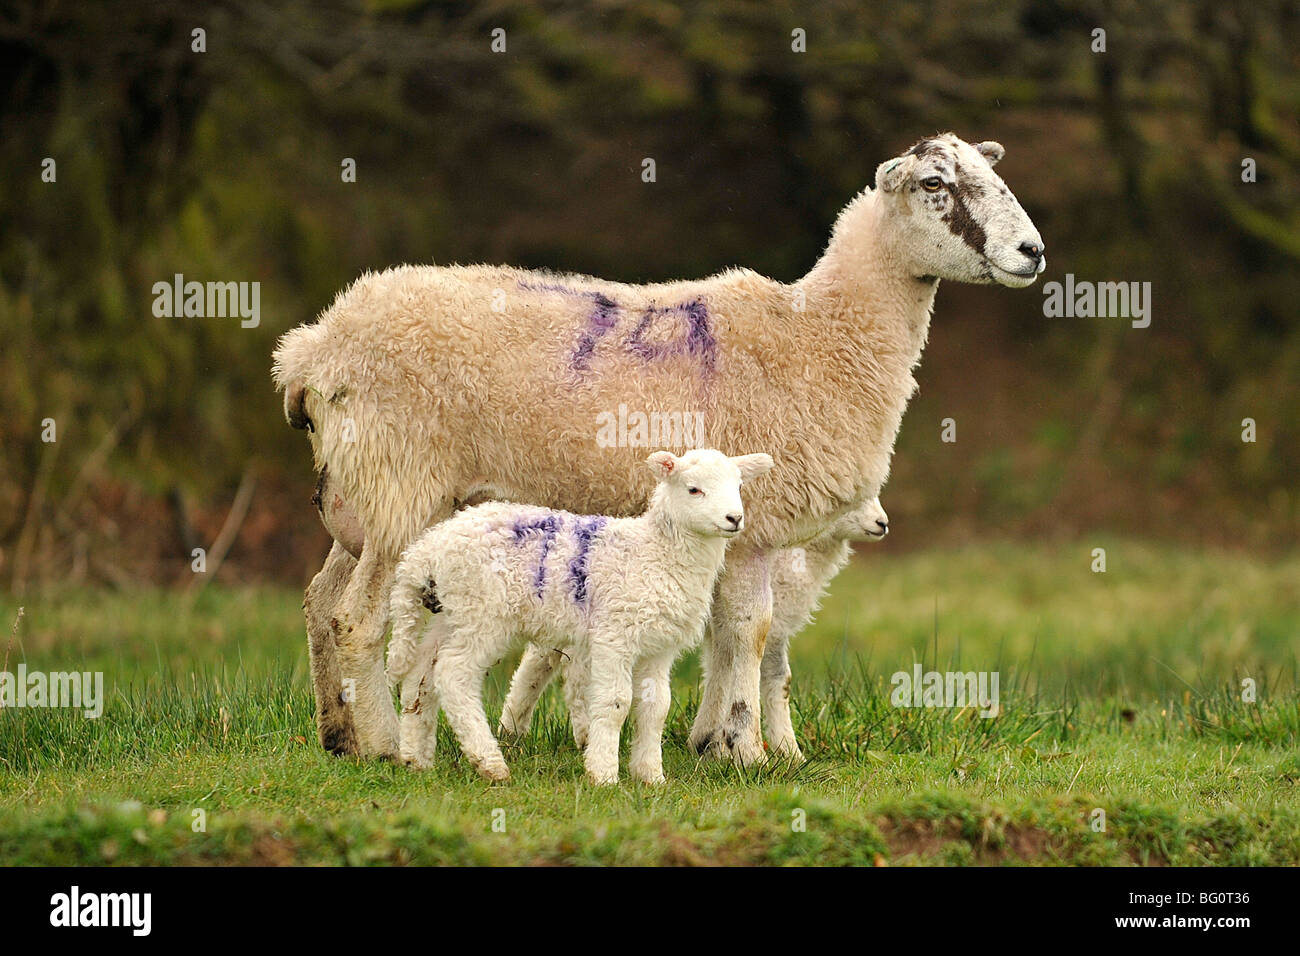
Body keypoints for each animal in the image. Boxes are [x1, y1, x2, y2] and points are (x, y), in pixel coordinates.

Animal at [384, 447, 769, 785]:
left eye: (738, 487)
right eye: (693, 489)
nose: (735, 519)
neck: (655, 552)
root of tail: (427, 549)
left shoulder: (659, 646)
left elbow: (655, 708)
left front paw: (651, 777)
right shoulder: (615, 634)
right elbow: (615, 704)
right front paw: (603, 774)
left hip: (451, 612)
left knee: (421, 674)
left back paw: (416, 759)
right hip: (484, 613)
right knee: (453, 674)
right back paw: (490, 763)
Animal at [499, 502, 894, 754]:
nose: (883, 523)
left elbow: (735, 670)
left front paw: (715, 740)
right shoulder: (771, 621)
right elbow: (774, 679)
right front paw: (785, 750)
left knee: (544, 659)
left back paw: (513, 729)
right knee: (563, 667)